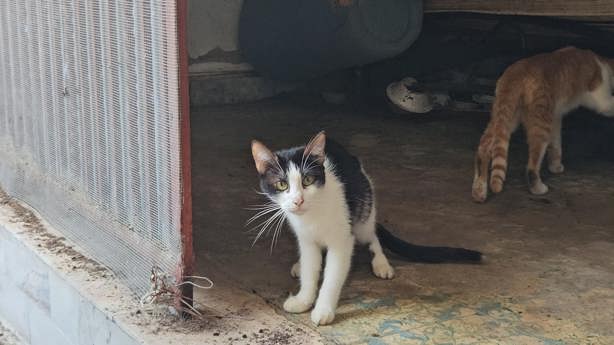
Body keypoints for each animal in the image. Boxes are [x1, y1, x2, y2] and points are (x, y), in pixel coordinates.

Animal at [250, 132, 482, 326]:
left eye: (307, 180)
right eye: (282, 185)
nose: (298, 201)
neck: (313, 215)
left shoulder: (343, 240)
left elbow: (333, 276)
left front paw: (323, 309)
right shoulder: (306, 240)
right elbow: (310, 269)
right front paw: (304, 299)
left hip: (363, 211)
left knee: (373, 237)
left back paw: (381, 263)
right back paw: (299, 265)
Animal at [474, 46, 612, 202]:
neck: (602, 62)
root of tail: (515, 73)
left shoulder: (556, 116)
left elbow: (556, 144)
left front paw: (555, 166)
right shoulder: (602, 100)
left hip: (505, 117)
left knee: (484, 147)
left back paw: (479, 190)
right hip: (540, 122)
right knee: (532, 164)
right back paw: (537, 188)